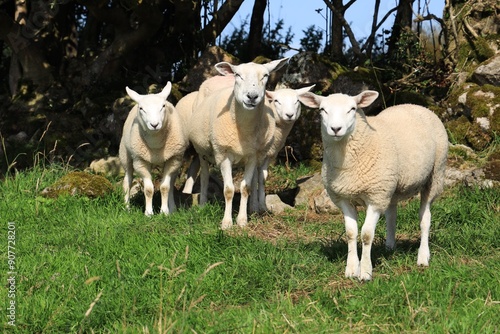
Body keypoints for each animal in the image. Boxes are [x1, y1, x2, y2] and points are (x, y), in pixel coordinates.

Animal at [119, 82, 189, 215]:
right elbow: (148, 189)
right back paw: (126, 207)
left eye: (163, 106)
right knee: (127, 181)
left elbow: (165, 187)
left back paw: (172, 208)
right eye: (141, 108)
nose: (154, 124)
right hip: (126, 156)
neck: (156, 144)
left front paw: (164, 212)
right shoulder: (140, 161)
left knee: (171, 184)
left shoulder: (173, 159)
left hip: (176, 162)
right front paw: (149, 213)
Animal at [188, 58, 290, 230]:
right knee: (204, 176)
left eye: (265, 75)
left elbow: (246, 188)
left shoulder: (252, 156)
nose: (252, 96)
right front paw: (227, 222)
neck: (244, 129)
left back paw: (254, 208)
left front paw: (242, 220)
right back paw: (202, 204)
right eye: (238, 75)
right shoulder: (223, 155)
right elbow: (229, 190)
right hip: (203, 151)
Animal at [250, 85, 316, 213]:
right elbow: (254, 178)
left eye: (297, 101)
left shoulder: (268, 153)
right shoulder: (253, 153)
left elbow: (262, 177)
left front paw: (263, 207)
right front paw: (254, 208)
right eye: (276, 101)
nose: (289, 115)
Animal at [296, 90, 450, 280]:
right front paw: (351, 269)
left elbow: (367, 234)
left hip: (435, 175)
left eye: (352, 109)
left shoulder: (375, 198)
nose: (336, 129)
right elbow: (351, 233)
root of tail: (415, 105)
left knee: (425, 218)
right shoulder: (343, 198)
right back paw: (389, 247)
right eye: (322, 110)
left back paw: (423, 257)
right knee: (391, 216)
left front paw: (365, 271)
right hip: (391, 187)